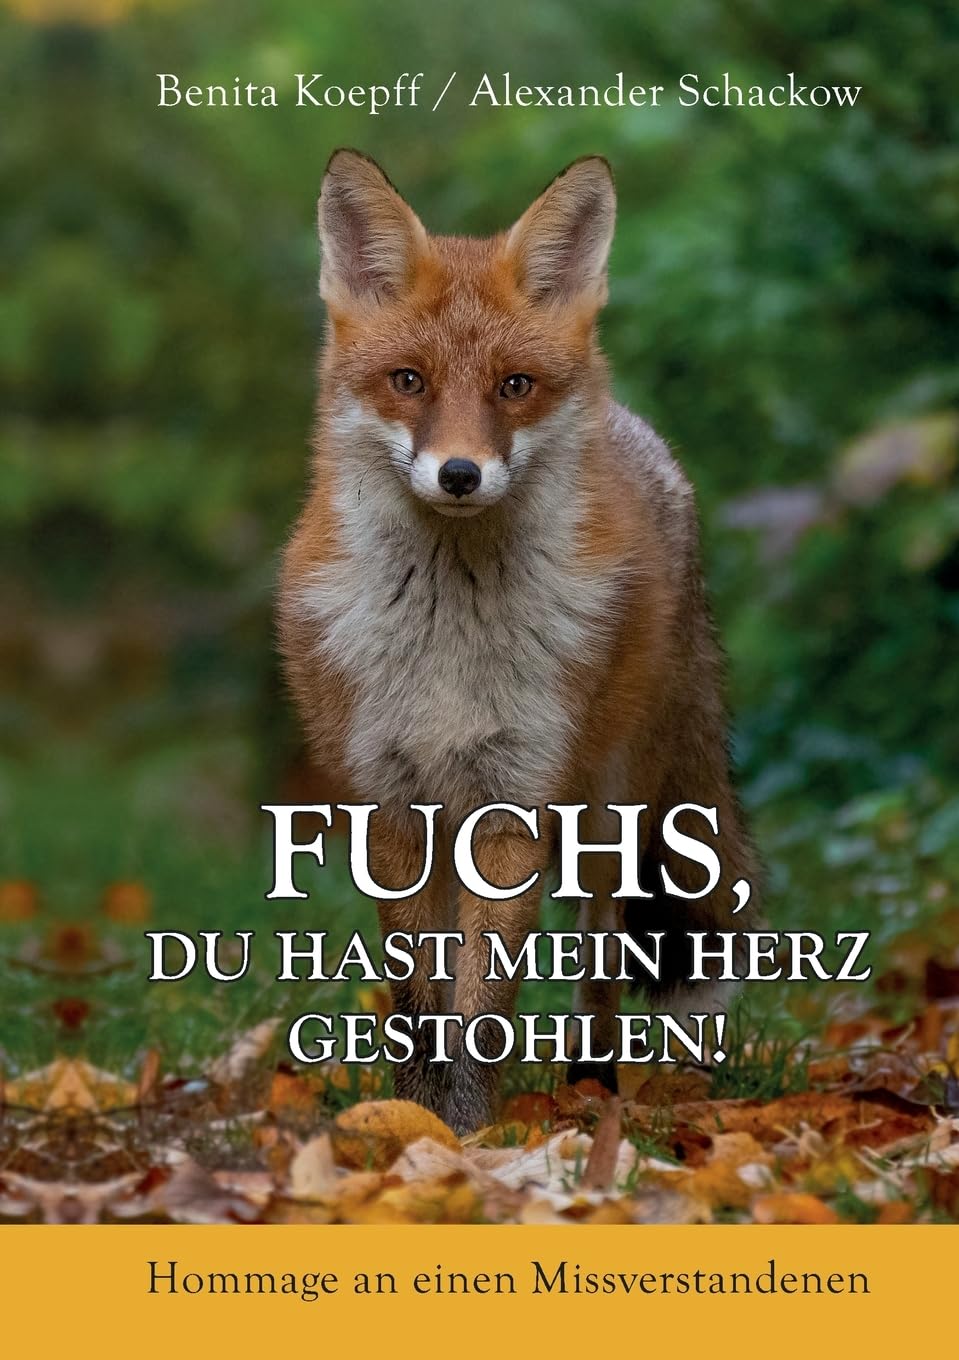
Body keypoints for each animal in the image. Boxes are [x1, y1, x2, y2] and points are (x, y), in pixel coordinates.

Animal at [278, 149, 760, 1134]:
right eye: (409, 381)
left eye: (513, 386)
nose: (459, 473)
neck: (447, 646)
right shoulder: (392, 806)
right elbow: (418, 1004)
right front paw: (414, 1122)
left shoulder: (512, 805)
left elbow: (483, 1007)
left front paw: (468, 1135)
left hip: (610, 810)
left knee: (602, 954)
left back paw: (593, 1082)